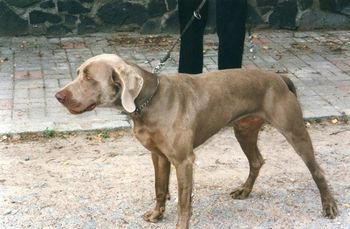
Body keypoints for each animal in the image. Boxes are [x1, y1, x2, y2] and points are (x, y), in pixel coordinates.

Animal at [56, 54, 338, 229]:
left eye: (89, 77)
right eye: (79, 73)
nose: (58, 96)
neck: (149, 101)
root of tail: (279, 78)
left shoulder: (184, 160)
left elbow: (183, 200)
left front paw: (181, 223)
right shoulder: (159, 156)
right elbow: (160, 188)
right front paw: (157, 215)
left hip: (294, 131)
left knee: (318, 170)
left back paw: (329, 206)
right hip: (244, 131)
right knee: (257, 161)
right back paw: (244, 191)